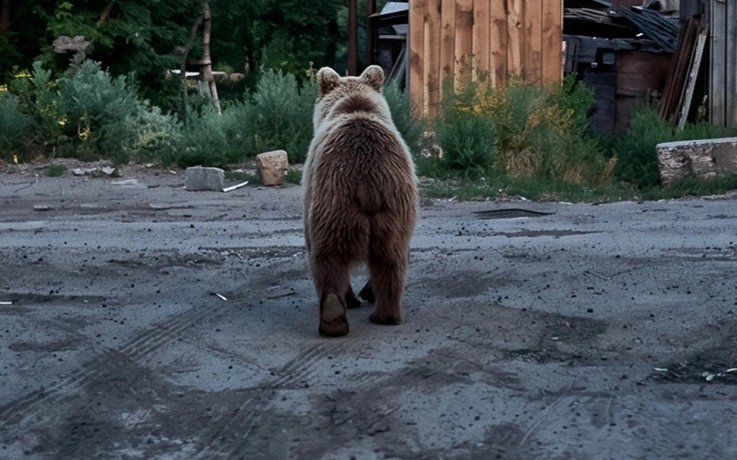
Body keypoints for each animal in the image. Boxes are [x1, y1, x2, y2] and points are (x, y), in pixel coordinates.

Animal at [302, 65, 418, 337]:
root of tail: (366, 179)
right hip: (394, 207)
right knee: (392, 260)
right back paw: (384, 314)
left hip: (331, 203)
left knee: (327, 259)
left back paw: (336, 311)